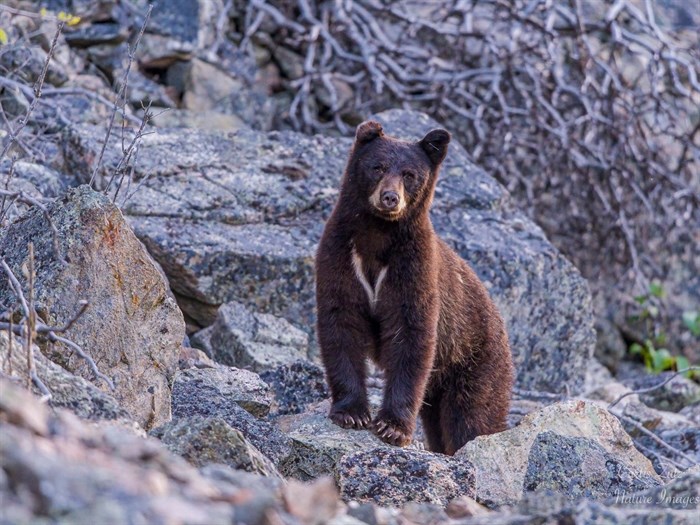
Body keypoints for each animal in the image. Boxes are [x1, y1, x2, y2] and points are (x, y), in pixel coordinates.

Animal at [314, 119, 512, 454]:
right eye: (378, 167)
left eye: (410, 174)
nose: (390, 198)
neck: (377, 235)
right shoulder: (340, 256)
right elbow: (340, 323)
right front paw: (351, 413)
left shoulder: (413, 269)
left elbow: (411, 334)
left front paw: (392, 427)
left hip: (476, 362)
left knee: (472, 417)